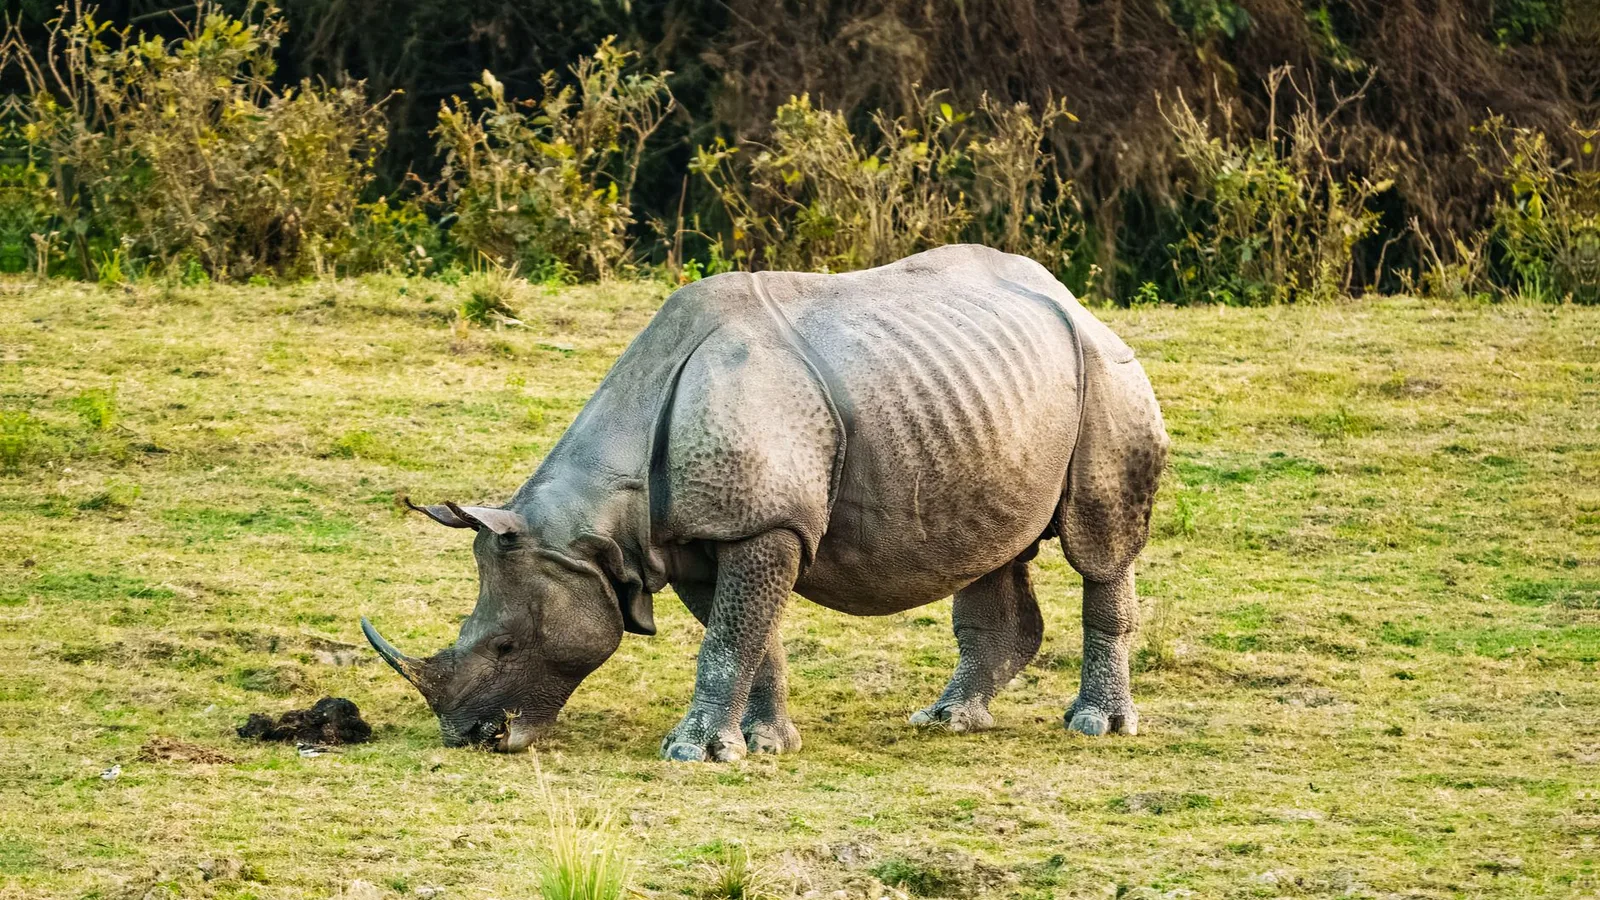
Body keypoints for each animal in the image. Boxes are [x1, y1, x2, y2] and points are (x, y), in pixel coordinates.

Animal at [362, 244, 1168, 761]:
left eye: (505, 645)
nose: (472, 739)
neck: (597, 526)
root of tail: (1073, 299)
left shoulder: (761, 523)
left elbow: (728, 639)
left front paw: (691, 753)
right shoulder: (690, 537)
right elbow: (752, 636)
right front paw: (763, 745)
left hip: (1109, 370)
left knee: (1099, 549)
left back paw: (1097, 727)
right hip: (986, 390)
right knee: (991, 549)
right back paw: (947, 721)